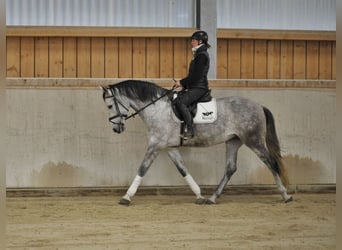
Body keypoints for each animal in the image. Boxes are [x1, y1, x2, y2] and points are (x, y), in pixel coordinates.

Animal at [100, 79, 292, 205]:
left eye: (109, 106)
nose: (116, 129)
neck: (157, 109)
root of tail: (258, 105)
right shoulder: (169, 147)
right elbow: (182, 169)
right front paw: (199, 195)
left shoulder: (155, 145)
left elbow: (142, 168)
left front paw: (126, 197)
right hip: (233, 141)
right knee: (230, 168)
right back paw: (212, 198)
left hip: (254, 140)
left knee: (271, 162)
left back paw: (285, 196)